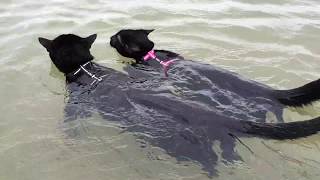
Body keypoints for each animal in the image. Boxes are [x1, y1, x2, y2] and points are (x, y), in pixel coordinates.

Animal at [40, 33, 320, 176]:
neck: (88, 70)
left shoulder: (76, 102)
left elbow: (70, 121)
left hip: (183, 147)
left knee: (209, 161)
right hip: (222, 140)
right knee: (227, 154)